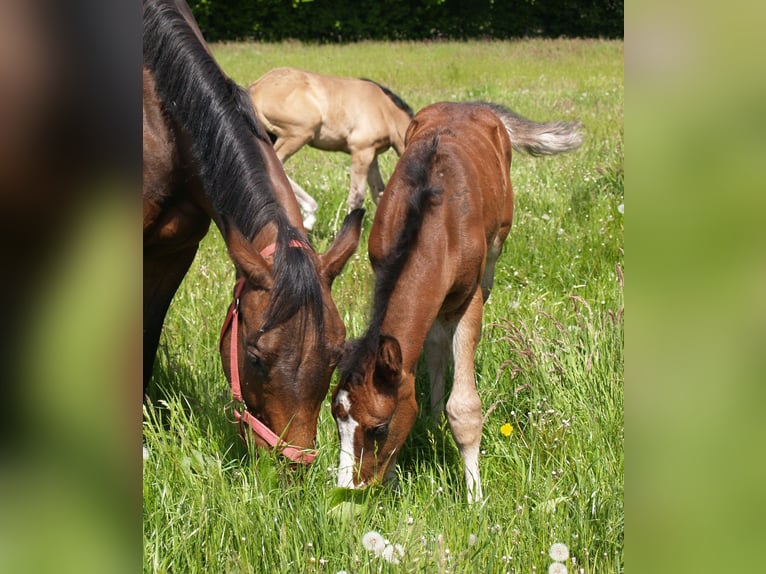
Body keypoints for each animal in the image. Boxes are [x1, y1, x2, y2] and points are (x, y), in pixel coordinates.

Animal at [248, 69, 414, 225]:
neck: (385, 110)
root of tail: (255, 88)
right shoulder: (361, 151)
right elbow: (356, 197)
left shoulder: (372, 155)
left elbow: (379, 194)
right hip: (298, 133)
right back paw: (310, 213)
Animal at [330, 102, 584, 504]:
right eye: (336, 418)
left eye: (378, 428)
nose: (349, 489)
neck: (433, 220)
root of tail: (472, 104)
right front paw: (396, 475)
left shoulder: (469, 297)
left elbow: (464, 408)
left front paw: (475, 497)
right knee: (434, 342)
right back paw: (433, 415)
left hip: (495, 250)